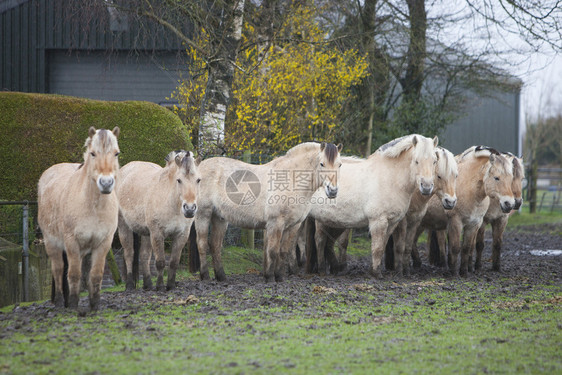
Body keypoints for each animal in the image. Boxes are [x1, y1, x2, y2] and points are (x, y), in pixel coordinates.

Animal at [117, 151, 200, 292]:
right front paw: (160, 286)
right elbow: (160, 262)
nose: (189, 209)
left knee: (144, 256)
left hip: (146, 233)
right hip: (124, 226)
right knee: (129, 254)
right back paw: (129, 285)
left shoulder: (182, 235)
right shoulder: (157, 234)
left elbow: (174, 262)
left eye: (198, 180)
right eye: (179, 180)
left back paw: (148, 284)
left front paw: (171, 285)